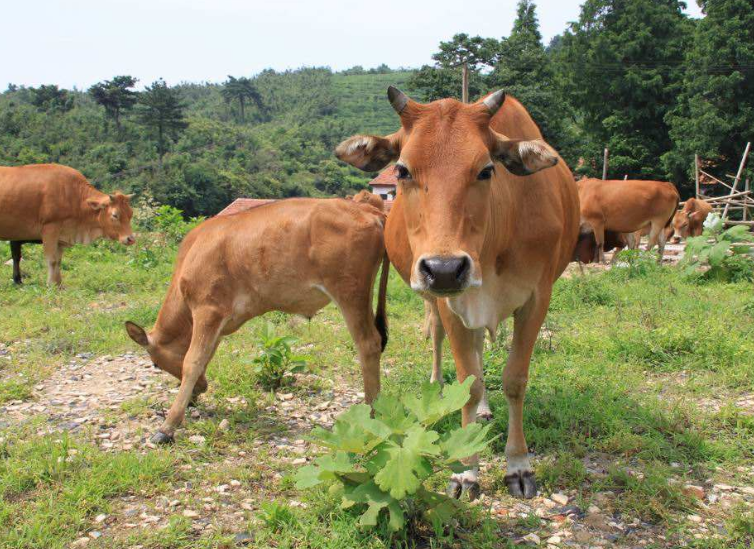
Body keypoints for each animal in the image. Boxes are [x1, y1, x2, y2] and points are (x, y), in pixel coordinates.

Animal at [0, 163, 135, 284]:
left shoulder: (61, 236)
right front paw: (51, 284)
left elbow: (58, 261)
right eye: (115, 215)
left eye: (131, 213)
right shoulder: (50, 229)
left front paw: (59, 283)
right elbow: (52, 260)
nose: (130, 239)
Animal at [124, 198, 388, 446]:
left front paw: (168, 426)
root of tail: (367, 209)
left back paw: (372, 413)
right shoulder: (218, 322)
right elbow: (206, 356)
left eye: (155, 364)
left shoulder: (207, 309)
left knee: (368, 344)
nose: (201, 389)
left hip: (349, 292)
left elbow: (193, 361)